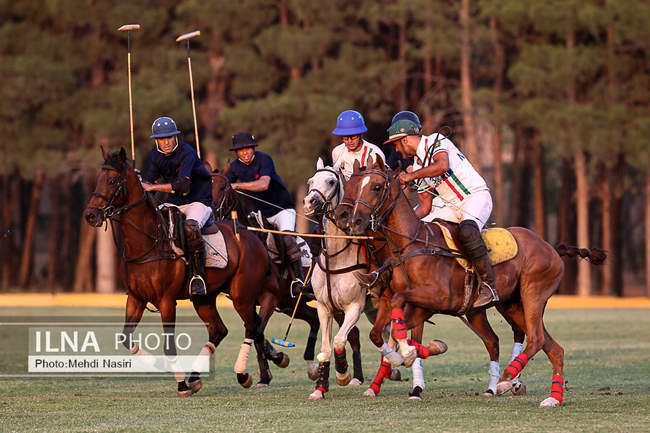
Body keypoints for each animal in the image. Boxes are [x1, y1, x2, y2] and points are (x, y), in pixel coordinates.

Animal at [83, 147, 288, 396]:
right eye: (98, 179)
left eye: (113, 180)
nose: (90, 215)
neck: (147, 243)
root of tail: (251, 235)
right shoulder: (136, 298)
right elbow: (125, 337)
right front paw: (163, 367)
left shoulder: (166, 300)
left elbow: (169, 345)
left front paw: (181, 384)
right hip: (204, 297)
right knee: (221, 330)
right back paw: (198, 376)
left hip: (242, 294)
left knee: (252, 326)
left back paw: (244, 374)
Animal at [210, 163, 363, 383]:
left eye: (223, 187)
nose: (212, 211)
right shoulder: (247, 301)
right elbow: (256, 332)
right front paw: (267, 370)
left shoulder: (271, 297)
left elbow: (257, 330)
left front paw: (273, 361)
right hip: (291, 305)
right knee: (316, 320)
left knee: (353, 333)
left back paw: (356, 376)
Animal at [304, 158, 524, 400]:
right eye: (311, 181)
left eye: (332, 181)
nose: (348, 218)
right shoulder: (326, 307)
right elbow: (330, 347)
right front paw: (320, 388)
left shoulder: (359, 305)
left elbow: (343, 339)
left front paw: (344, 374)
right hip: (475, 311)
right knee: (493, 340)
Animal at [335, 157, 606, 407]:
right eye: (352, 185)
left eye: (377, 186)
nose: (354, 221)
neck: (409, 245)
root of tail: (550, 246)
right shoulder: (396, 302)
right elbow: (378, 333)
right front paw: (402, 359)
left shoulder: (436, 298)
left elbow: (403, 327)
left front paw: (410, 357)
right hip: (509, 305)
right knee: (547, 346)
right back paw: (550, 397)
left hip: (533, 295)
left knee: (536, 338)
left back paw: (507, 378)